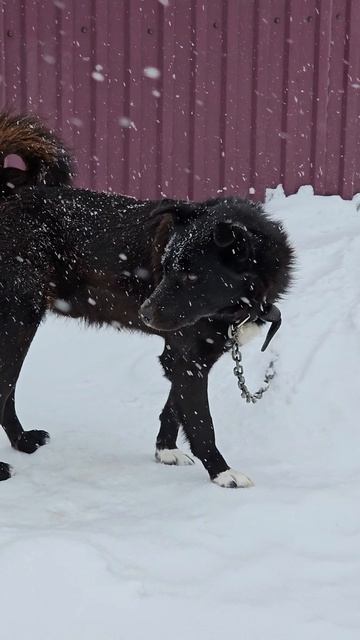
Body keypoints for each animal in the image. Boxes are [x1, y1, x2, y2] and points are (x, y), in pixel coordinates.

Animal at [0, 112, 292, 488]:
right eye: (166, 270)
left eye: (191, 278)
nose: (145, 314)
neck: (234, 304)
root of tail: (8, 193)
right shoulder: (188, 358)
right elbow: (201, 422)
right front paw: (221, 472)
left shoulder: (189, 356)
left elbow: (174, 409)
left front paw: (165, 450)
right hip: (18, 322)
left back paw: (22, 441)